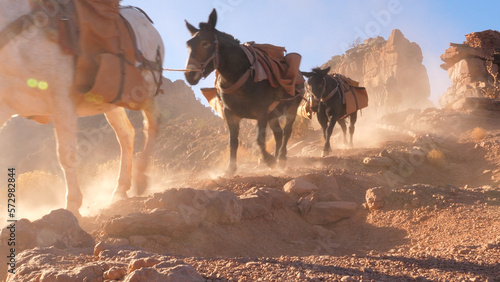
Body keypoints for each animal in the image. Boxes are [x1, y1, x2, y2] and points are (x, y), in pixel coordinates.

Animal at [0, 1, 165, 216]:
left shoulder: (61, 99)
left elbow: (67, 155)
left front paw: (73, 206)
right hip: (111, 100)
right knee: (127, 134)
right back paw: (121, 188)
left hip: (144, 90)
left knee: (152, 123)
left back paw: (140, 178)